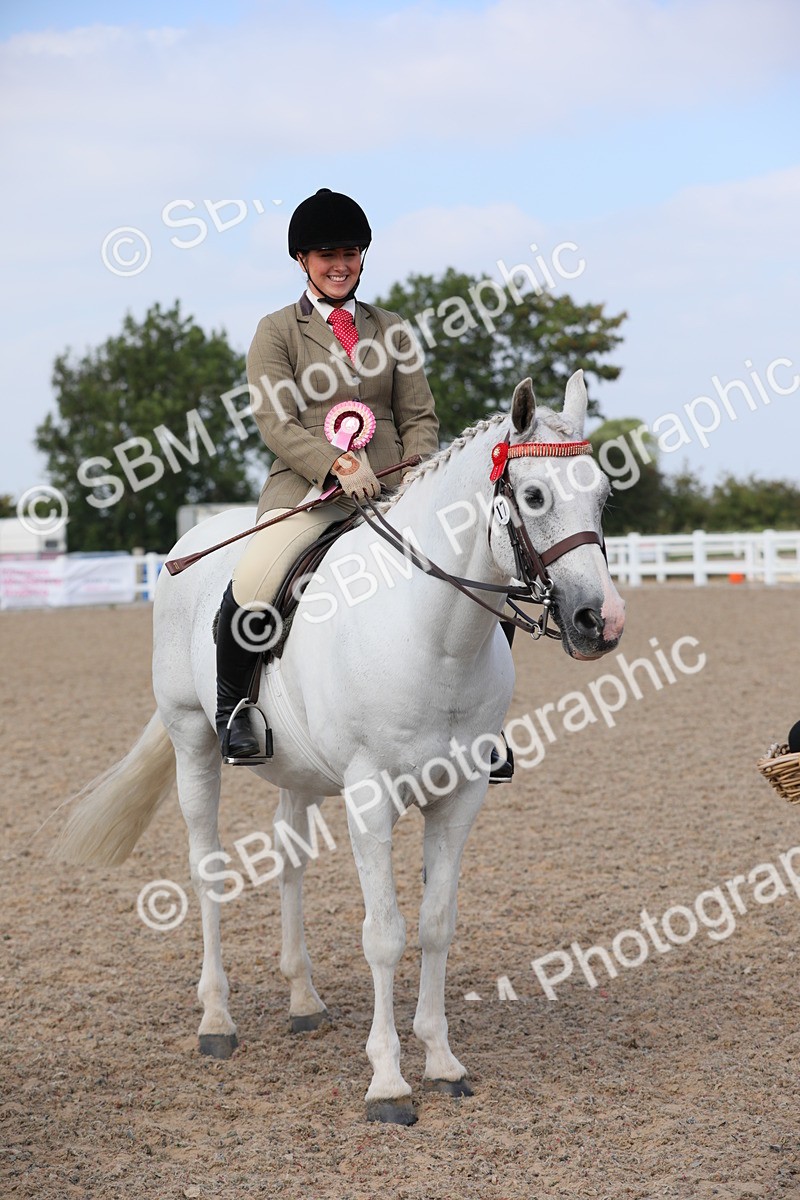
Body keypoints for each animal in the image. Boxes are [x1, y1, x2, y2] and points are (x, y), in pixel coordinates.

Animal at [56, 371, 625, 1125]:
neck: (433, 632)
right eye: (533, 497)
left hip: (294, 770)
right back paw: (217, 1021)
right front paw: (388, 1082)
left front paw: (442, 1061)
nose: (601, 622)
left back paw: (303, 1000)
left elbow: (436, 924)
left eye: (603, 496)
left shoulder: (462, 796)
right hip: (191, 741)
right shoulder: (370, 796)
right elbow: (383, 933)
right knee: (208, 869)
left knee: (289, 863)